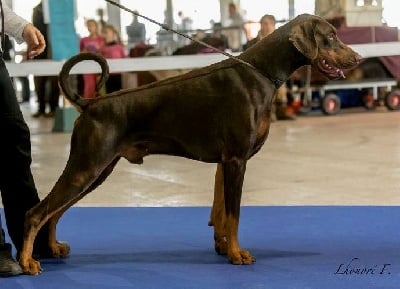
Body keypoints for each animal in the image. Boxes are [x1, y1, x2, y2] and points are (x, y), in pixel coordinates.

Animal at [20, 14, 360, 274]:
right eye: (330, 36)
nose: (357, 58)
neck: (259, 74)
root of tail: (89, 103)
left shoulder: (225, 162)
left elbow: (221, 213)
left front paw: (223, 247)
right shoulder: (237, 160)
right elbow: (234, 214)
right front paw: (238, 255)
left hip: (97, 171)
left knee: (55, 212)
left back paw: (53, 248)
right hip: (87, 166)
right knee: (37, 212)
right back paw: (27, 262)